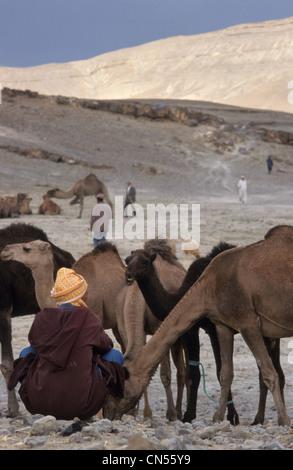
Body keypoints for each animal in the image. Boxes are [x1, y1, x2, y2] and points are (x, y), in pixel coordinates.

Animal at [104, 226, 292, 428]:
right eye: (127, 260)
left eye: (120, 386)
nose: (107, 411)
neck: (206, 285)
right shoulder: (222, 325)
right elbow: (225, 374)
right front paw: (218, 418)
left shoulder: (245, 322)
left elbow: (268, 373)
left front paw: (283, 420)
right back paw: (258, 418)